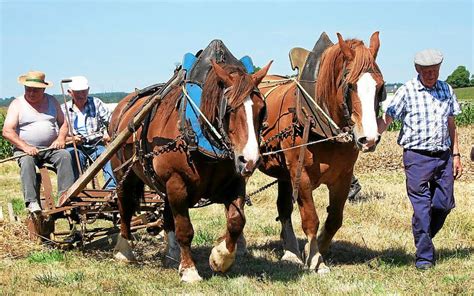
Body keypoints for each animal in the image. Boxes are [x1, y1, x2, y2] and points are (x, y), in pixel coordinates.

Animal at [107, 59, 270, 282]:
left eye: (261, 109)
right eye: (229, 109)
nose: (250, 160)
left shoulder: (234, 182)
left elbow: (236, 222)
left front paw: (220, 258)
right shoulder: (177, 184)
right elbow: (185, 230)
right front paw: (190, 270)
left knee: (166, 214)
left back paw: (172, 254)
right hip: (124, 173)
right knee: (124, 203)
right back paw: (124, 251)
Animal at [258, 31, 384, 272]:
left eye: (380, 87)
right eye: (350, 85)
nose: (369, 139)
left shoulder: (343, 177)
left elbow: (334, 219)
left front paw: (312, 250)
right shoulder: (303, 177)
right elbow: (311, 220)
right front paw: (316, 259)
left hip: (285, 174)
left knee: (283, 208)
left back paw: (290, 251)